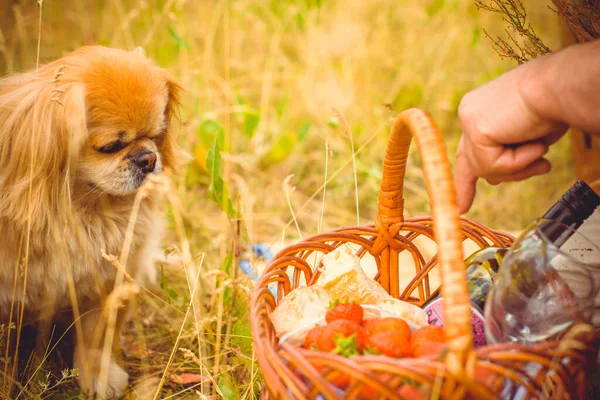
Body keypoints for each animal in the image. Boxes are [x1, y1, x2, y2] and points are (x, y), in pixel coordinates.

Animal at [0, 46, 180, 396]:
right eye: (110, 146)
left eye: (154, 136)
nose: (149, 158)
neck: (82, 211)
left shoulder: (106, 284)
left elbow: (95, 339)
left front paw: (98, 378)